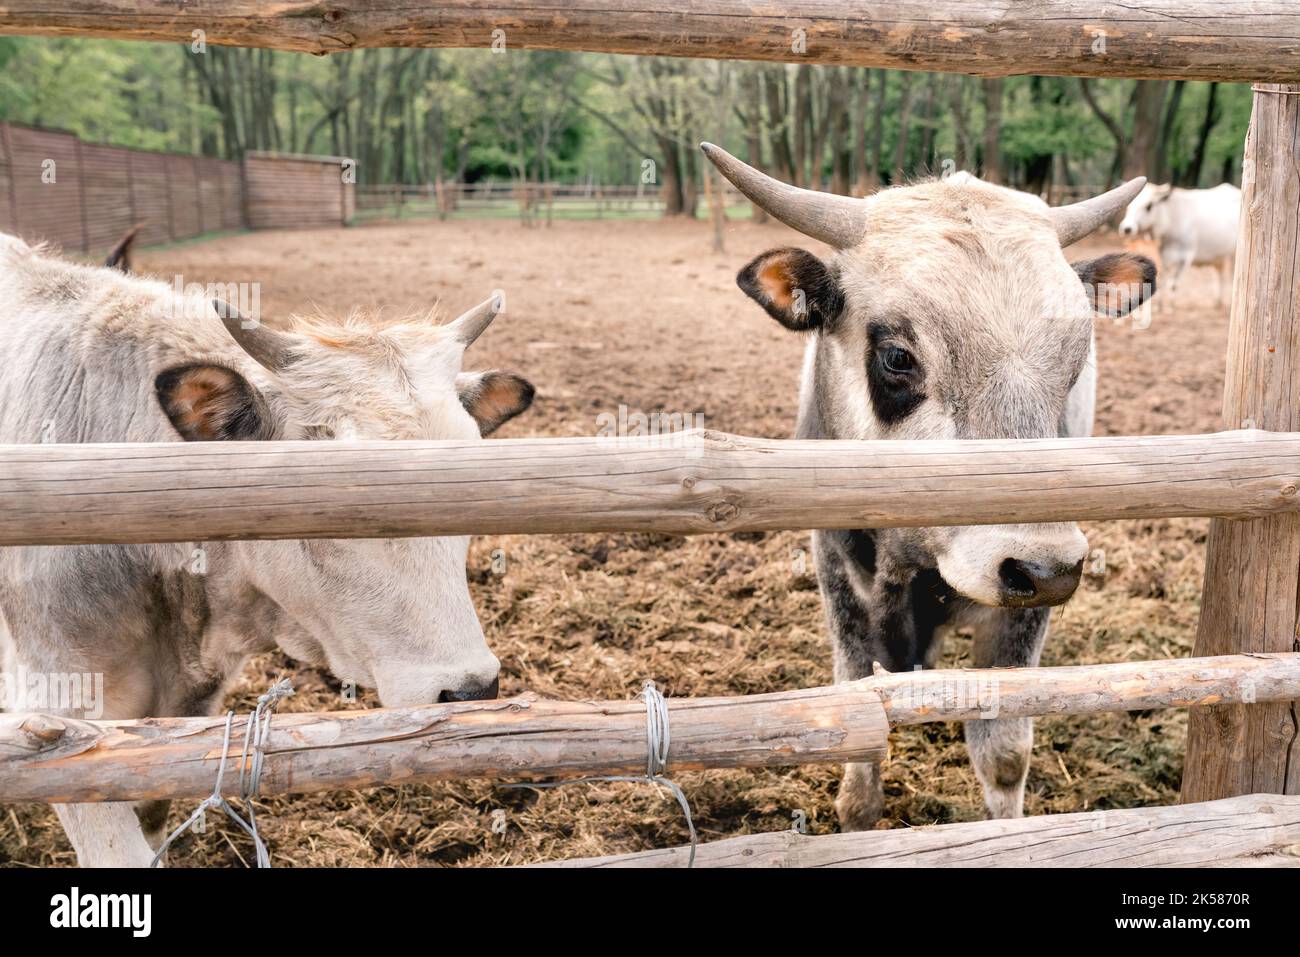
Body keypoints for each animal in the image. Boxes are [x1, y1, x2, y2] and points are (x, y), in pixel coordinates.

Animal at [701, 143, 1156, 829]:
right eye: (897, 357)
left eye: (1077, 357)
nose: (1044, 570)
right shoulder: (838, 573)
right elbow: (857, 750)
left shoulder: (1023, 617)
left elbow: (1003, 754)